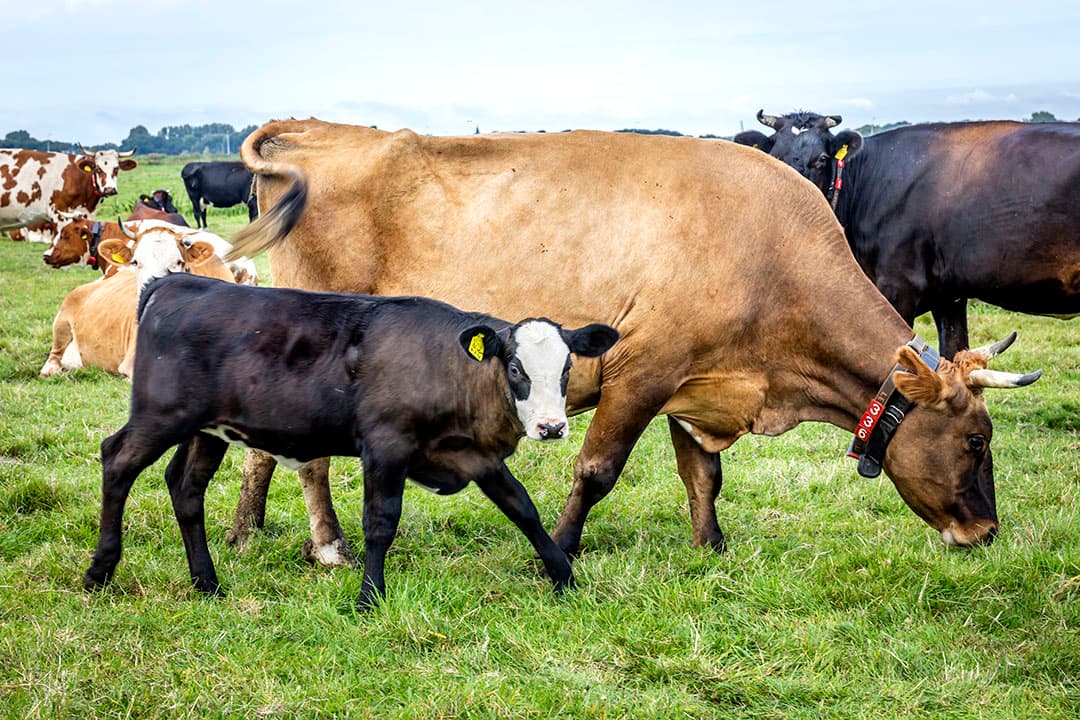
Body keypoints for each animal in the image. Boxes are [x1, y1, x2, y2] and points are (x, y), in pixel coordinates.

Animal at [82, 272, 619, 607]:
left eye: (567, 368)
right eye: (514, 368)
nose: (552, 427)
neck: (446, 367)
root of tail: (175, 282)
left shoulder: (477, 454)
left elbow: (523, 509)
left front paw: (563, 576)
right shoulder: (385, 447)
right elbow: (380, 523)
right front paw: (369, 597)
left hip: (207, 430)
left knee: (185, 486)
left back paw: (206, 582)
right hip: (160, 415)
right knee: (117, 460)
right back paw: (99, 572)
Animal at [219, 119, 1042, 568]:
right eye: (975, 441)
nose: (987, 531)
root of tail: (318, 129)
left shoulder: (698, 382)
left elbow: (703, 475)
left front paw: (711, 546)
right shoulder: (642, 370)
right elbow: (596, 470)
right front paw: (559, 548)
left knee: (266, 449)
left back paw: (246, 532)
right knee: (308, 457)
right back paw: (328, 545)